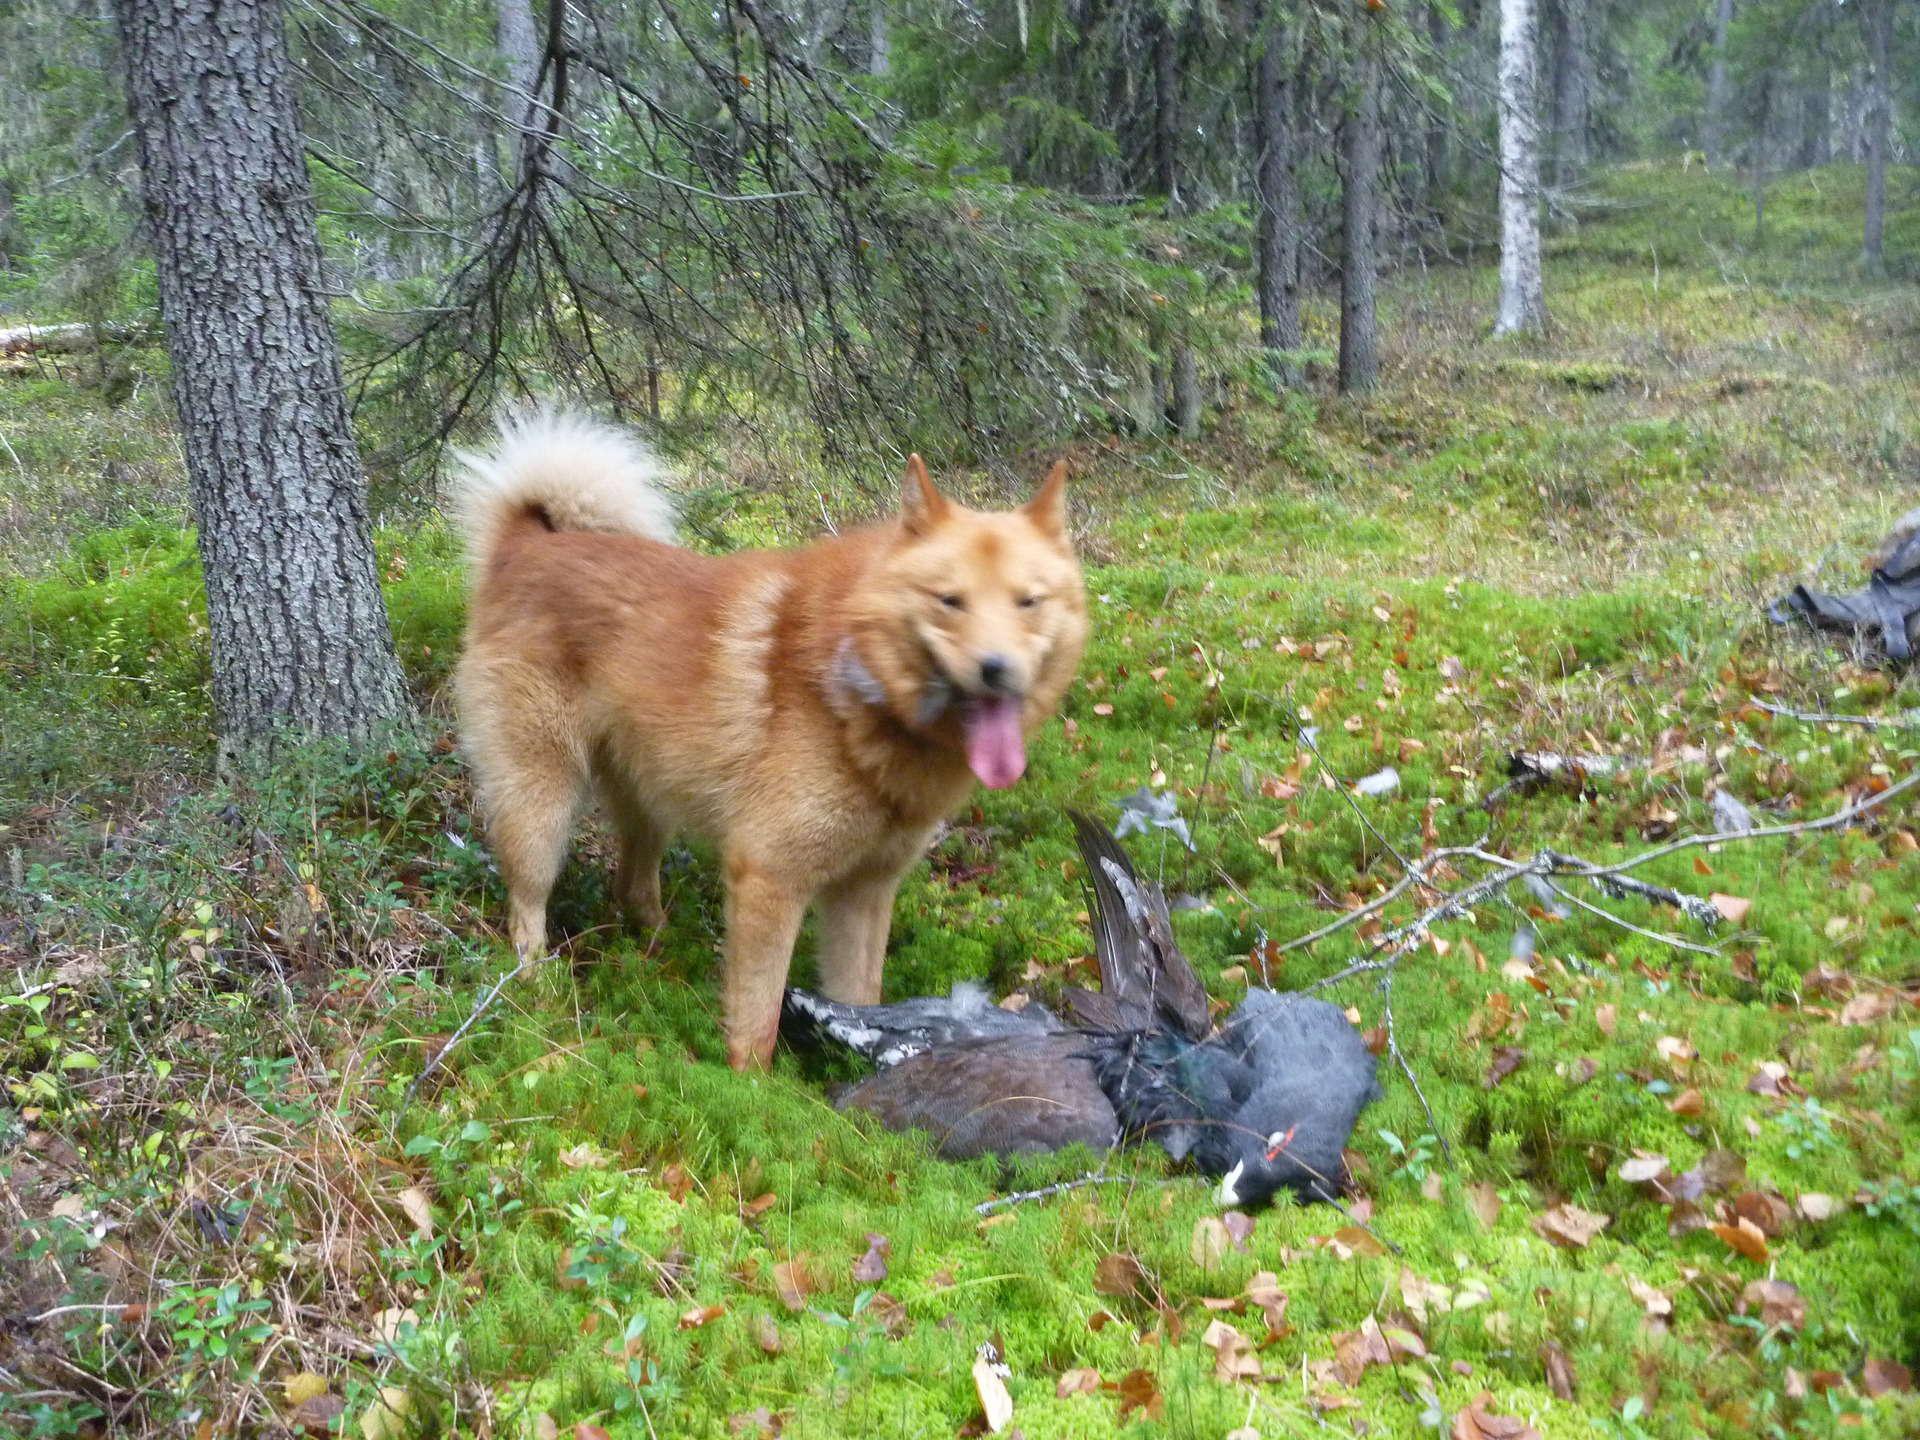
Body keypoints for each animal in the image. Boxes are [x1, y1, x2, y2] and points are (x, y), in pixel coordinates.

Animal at [441, 414, 1090, 1075]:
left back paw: (665, 949)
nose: (997, 669)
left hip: (648, 798)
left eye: (1028, 602)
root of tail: (527, 542)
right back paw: (536, 985)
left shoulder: (865, 891)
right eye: (949, 600)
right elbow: (758, 1019)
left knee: (634, 884)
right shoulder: (770, 879)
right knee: (527, 902)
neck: (861, 692)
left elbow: (860, 995)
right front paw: (753, 1088)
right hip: (541, 803)